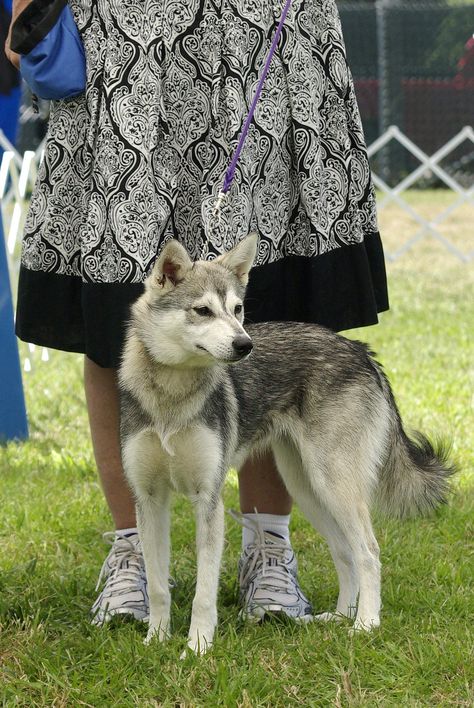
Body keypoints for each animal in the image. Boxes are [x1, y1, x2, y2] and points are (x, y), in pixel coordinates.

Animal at [118, 235, 456, 656]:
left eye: (237, 309)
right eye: (202, 311)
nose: (244, 344)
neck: (171, 396)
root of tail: (360, 350)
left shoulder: (207, 500)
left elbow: (203, 594)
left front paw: (197, 648)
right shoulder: (149, 500)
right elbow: (158, 586)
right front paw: (156, 640)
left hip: (333, 485)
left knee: (368, 552)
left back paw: (365, 624)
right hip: (308, 488)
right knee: (345, 553)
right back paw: (339, 617)